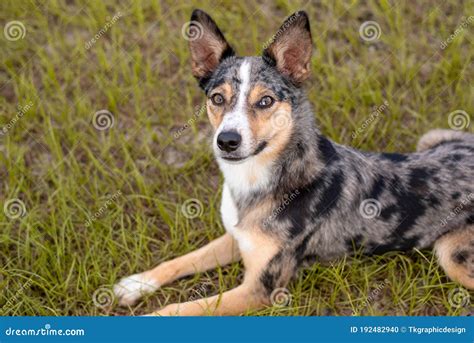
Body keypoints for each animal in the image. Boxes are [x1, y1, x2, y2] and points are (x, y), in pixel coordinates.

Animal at [115, 9, 474, 316]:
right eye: (217, 98)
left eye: (265, 101)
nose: (227, 140)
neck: (260, 180)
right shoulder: (237, 236)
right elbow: (182, 260)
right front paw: (136, 283)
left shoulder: (261, 288)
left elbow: (182, 308)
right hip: (430, 138)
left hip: (452, 255)